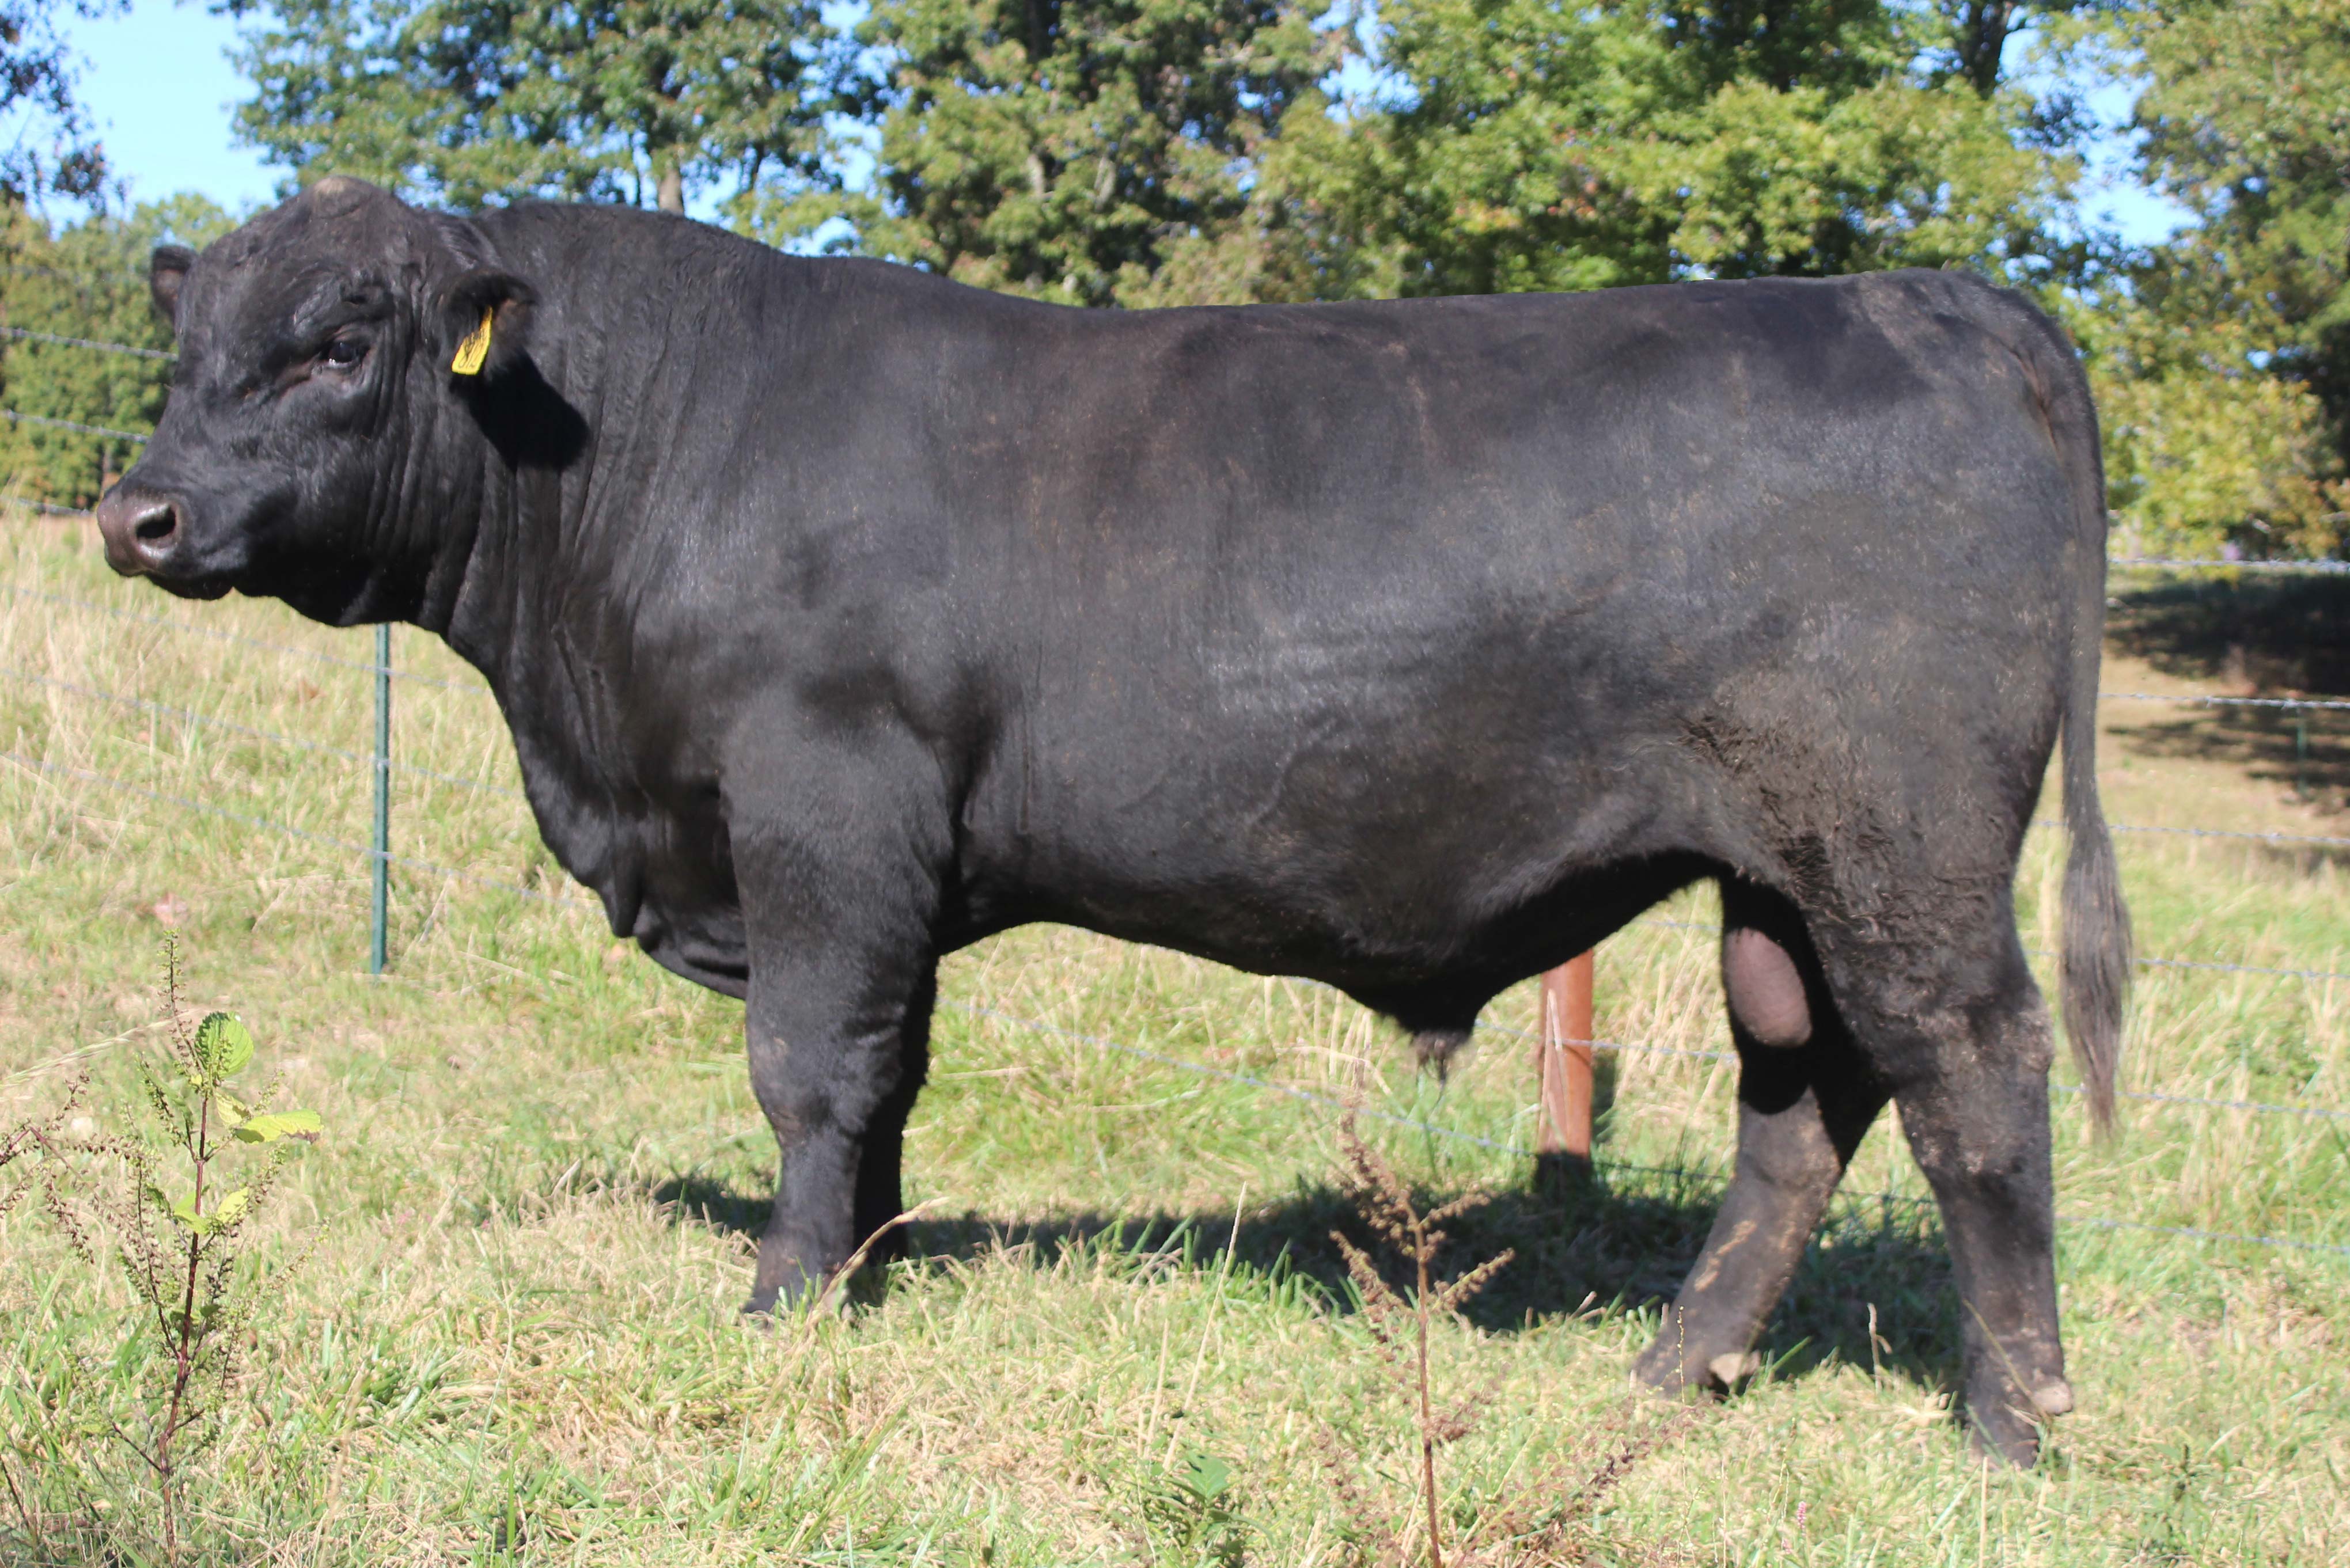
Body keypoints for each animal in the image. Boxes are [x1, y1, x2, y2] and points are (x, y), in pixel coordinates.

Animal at [95, 177, 2130, 1465]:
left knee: (1973, 1080)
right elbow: (891, 1071)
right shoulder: (886, 855)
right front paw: (871, 1262)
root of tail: (1934, 293)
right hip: (1781, 879)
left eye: (339, 343)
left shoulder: (822, 802)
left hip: (1905, 849)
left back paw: (2015, 1424)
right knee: (1804, 1102)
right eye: (190, 344)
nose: (141, 514)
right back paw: (1671, 1375)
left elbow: (812, 1064)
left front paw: (784, 1299)